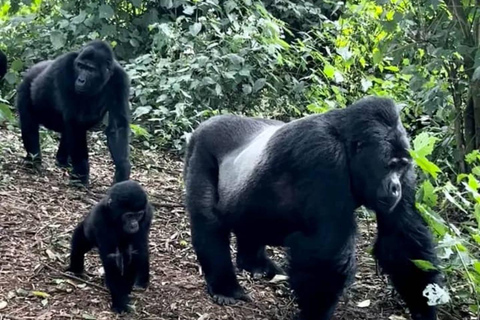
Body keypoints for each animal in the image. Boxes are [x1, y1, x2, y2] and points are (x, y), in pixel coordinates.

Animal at [16, 40, 131, 185]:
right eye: (80, 66)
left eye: (90, 69)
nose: (81, 80)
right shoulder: (64, 67)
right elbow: (75, 122)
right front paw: (81, 173)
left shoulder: (120, 78)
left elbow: (117, 126)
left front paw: (122, 170)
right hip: (25, 85)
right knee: (29, 124)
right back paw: (33, 160)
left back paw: (62, 160)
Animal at [66, 180, 153, 312]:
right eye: (129, 216)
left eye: (138, 215)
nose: (134, 224)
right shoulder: (100, 219)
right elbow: (111, 257)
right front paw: (120, 301)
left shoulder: (146, 215)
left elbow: (136, 252)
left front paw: (124, 294)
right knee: (79, 244)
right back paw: (76, 270)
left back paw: (141, 281)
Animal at [186, 97, 440, 320]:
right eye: (389, 166)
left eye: (400, 167)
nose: (396, 188)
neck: (346, 141)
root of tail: (206, 123)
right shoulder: (325, 157)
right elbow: (327, 250)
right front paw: (314, 315)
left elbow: (401, 240)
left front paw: (424, 308)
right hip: (201, 147)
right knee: (208, 220)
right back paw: (225, 287)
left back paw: (255, 263)